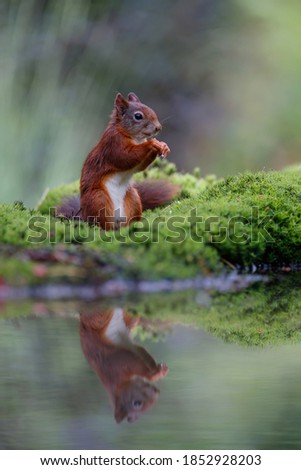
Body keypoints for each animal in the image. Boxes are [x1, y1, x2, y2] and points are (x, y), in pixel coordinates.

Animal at [58, 92, 178, 229]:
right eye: (138, 116)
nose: (158, 128)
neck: (134, 138)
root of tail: (83, 215)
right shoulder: (113, 144)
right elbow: (125, 157)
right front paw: (151, 144)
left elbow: (139, 167)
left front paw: (163, 146)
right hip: (99, 200)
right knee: (102, 224)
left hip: (133, 197)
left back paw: (134, 225)